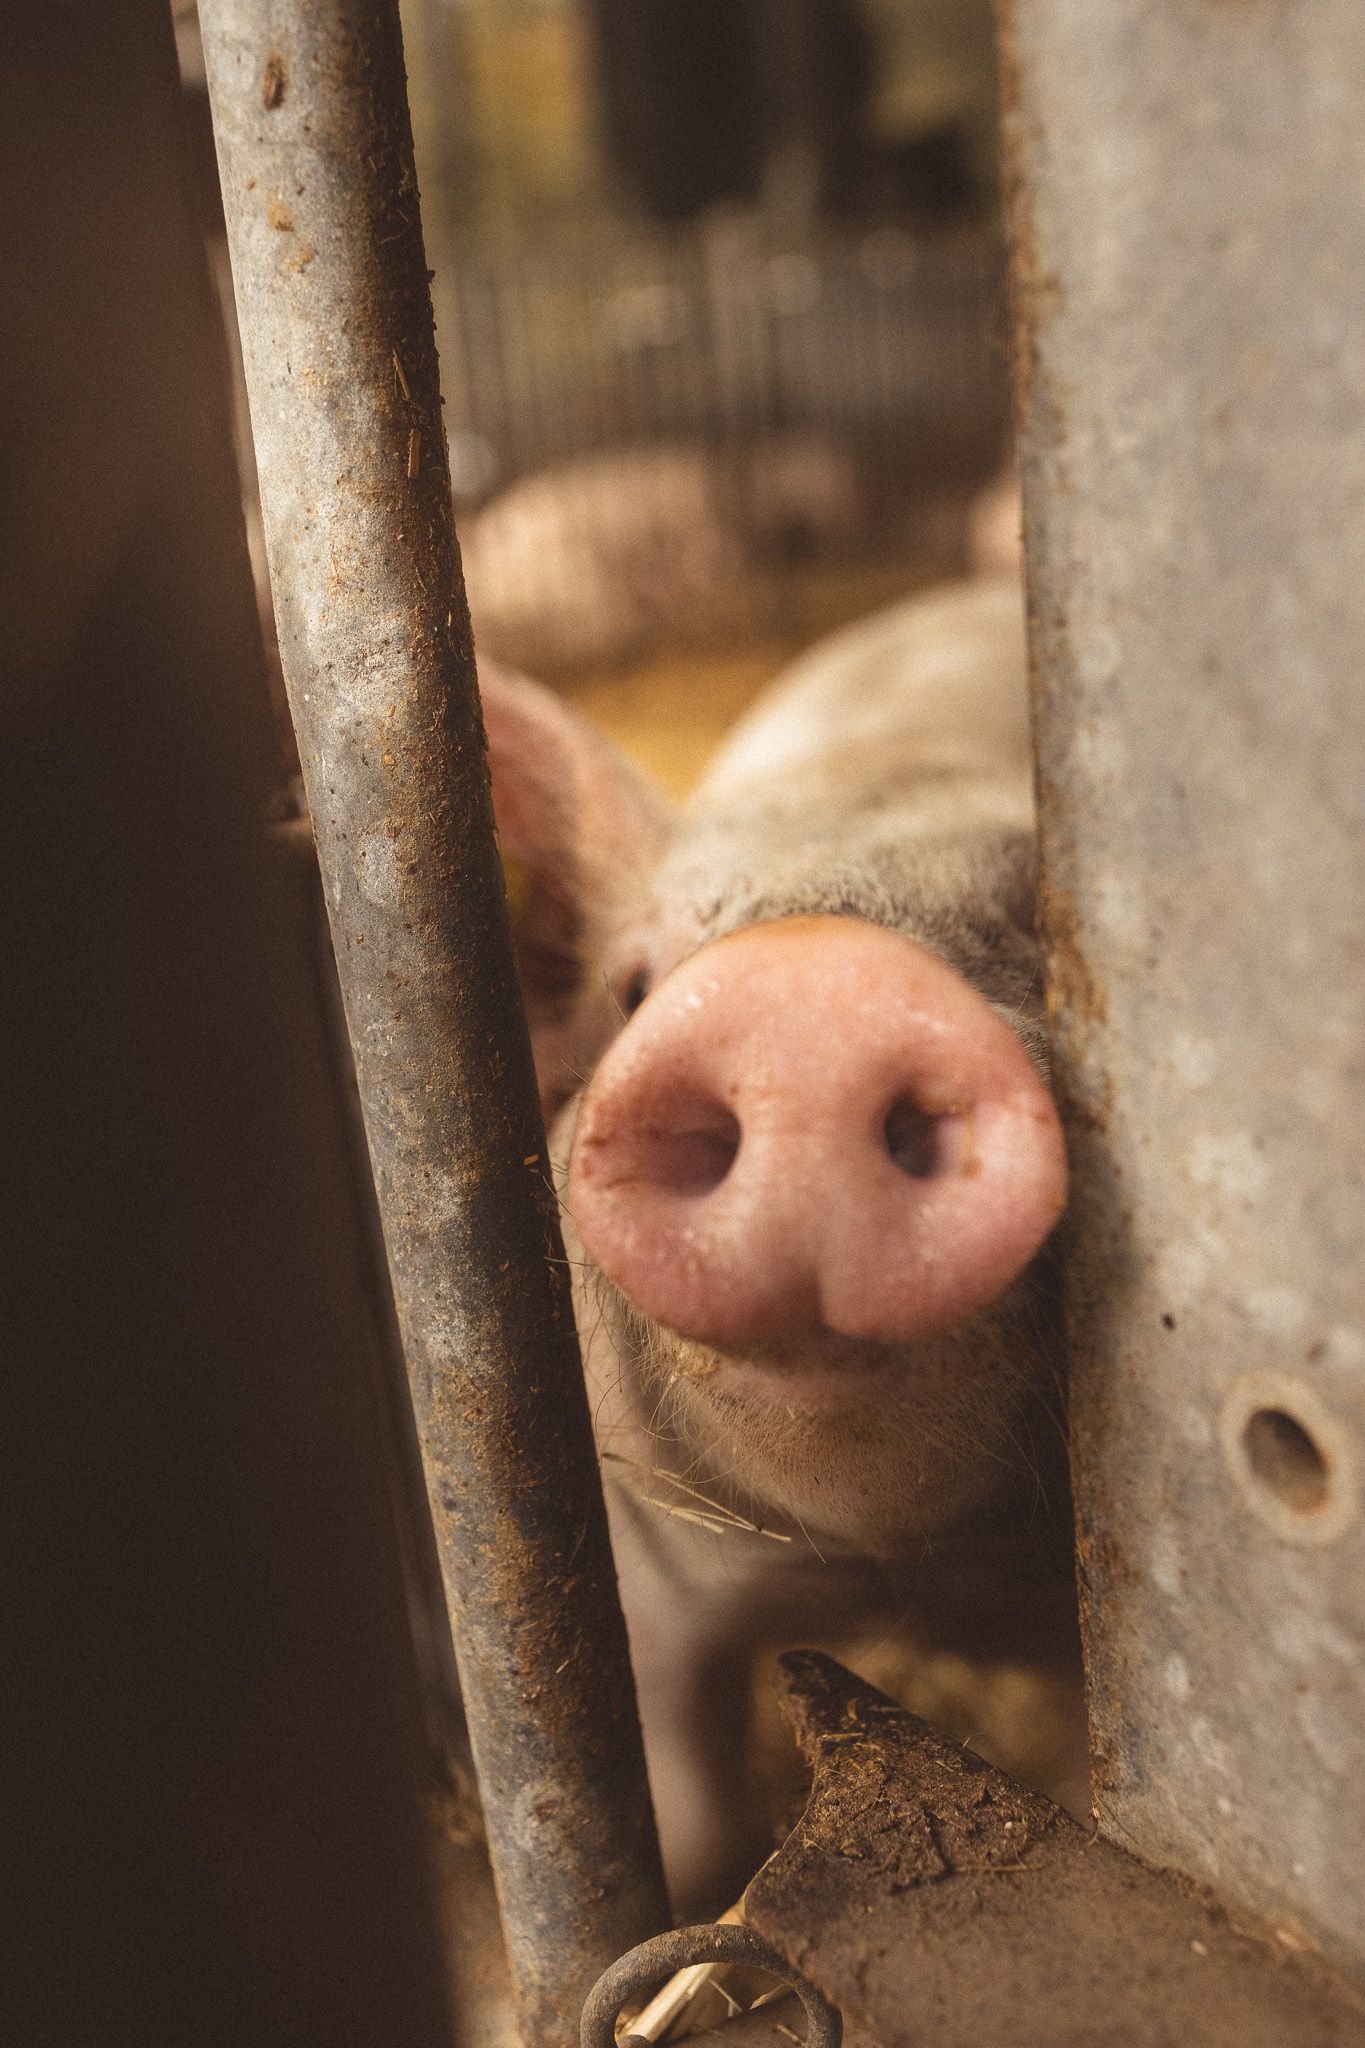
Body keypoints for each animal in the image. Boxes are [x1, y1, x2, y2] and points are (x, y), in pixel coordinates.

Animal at [479, 574, 1087, 1912]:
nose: (817, 985)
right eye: (632, 985)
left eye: (1044, 935)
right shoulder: (645, 1562)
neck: (906, 1580)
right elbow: (691, 1818)